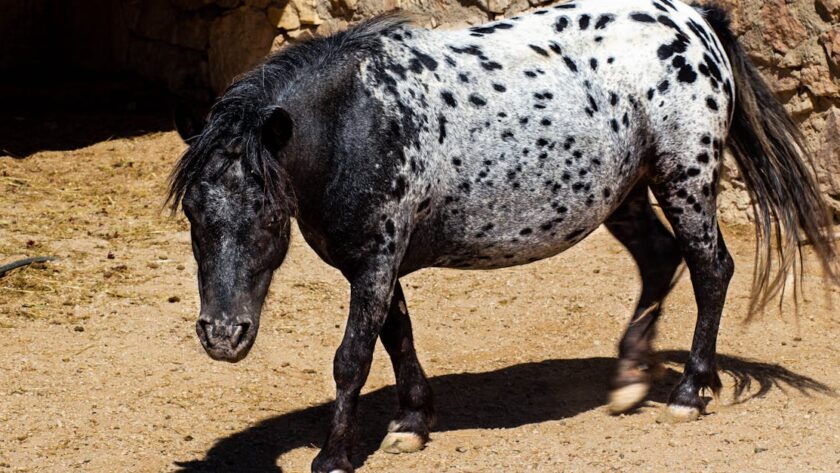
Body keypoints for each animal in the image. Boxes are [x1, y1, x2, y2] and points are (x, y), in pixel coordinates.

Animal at [168, 1, 839, 471]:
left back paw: (690, 390)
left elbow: (353, 357)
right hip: (625, 192)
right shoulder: (378, 262)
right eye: (195, 216)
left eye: (268, 217)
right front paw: (411, 425)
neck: (357, 121)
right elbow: (398, 337)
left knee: (711, 270)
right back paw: (629, 379)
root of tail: (697, 21)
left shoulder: (376, 261)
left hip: (686, 180)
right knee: (660, 261)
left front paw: (333, 457)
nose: (222, 336)